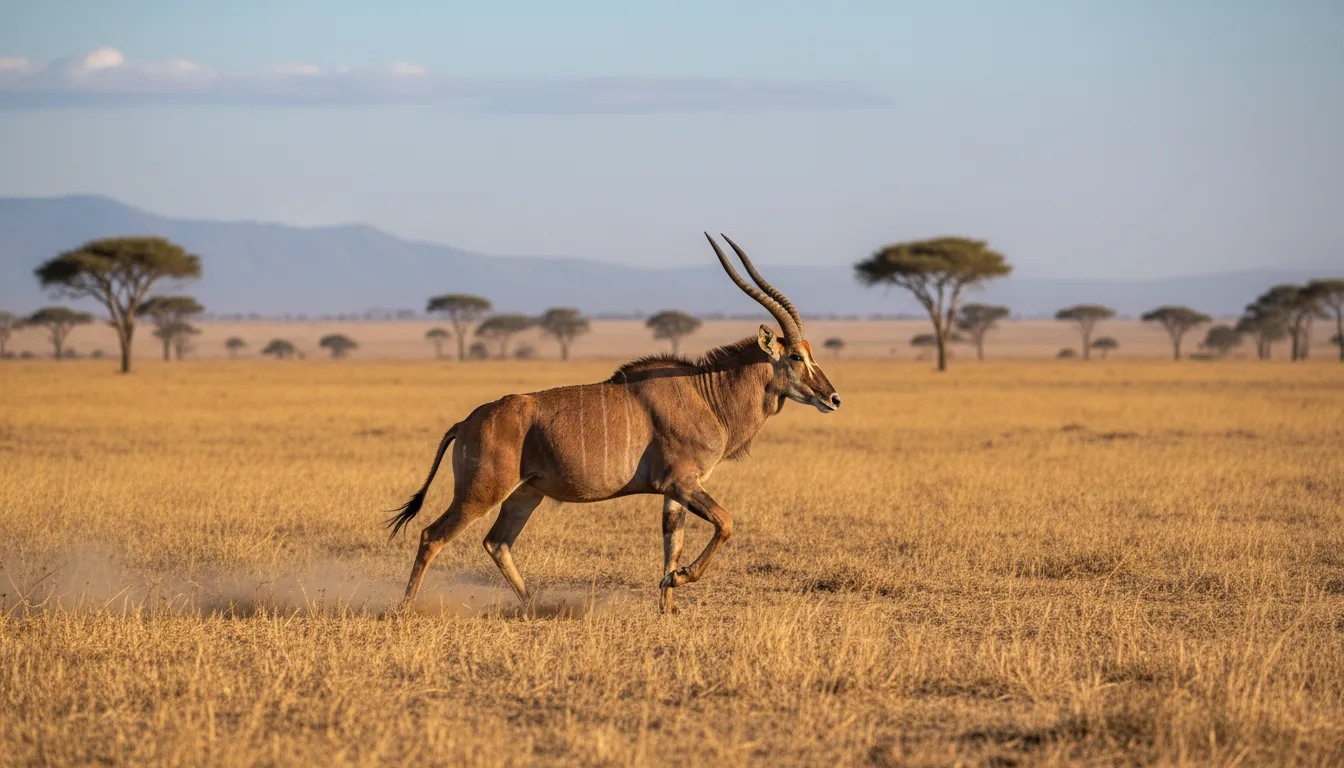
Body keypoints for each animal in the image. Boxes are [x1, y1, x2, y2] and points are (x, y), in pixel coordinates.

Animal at [386, 234, 841, 612]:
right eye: (796, 356)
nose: (832, 398)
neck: (705, 393)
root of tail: (466, 422)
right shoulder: (682, 483)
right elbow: (725, 524)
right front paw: (680, 579)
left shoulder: (676, 492)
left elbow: (671, 543)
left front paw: (668, 607)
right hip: (480, 494)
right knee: (431, 536)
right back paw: (406, 608)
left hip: (524, 496)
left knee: (496, 543)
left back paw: (536, 606)